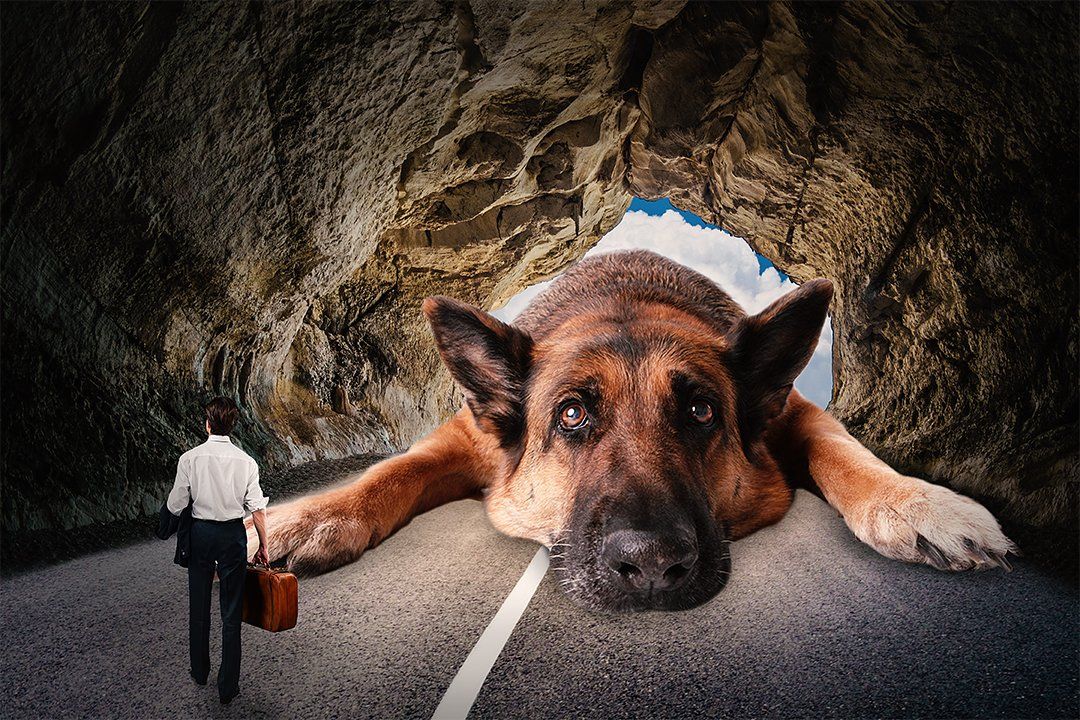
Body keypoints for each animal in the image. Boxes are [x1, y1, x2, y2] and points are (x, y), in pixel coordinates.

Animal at [248, 250, 1015, 613]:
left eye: (701, 411)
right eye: (572, 414)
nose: (650, 565)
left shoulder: (799, 412)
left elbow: (843, 449)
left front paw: (918, 503)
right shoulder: (462, 437)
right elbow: (392, 469)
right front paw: (309, 516)